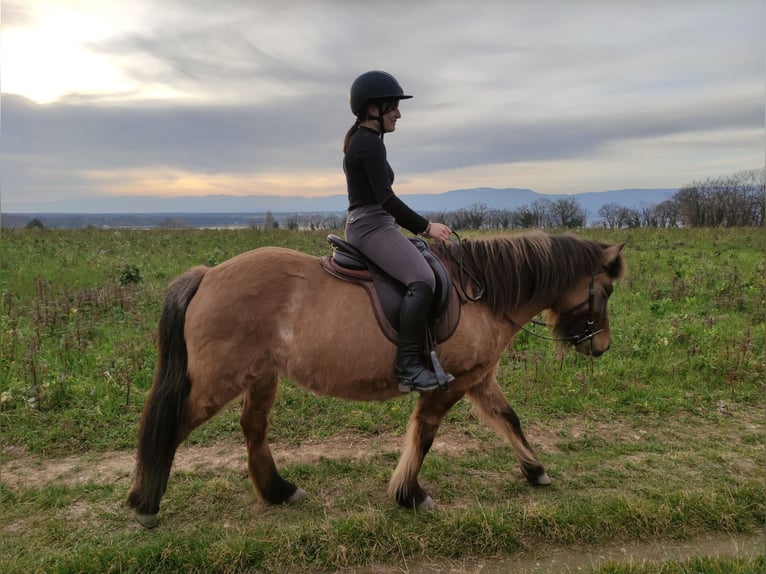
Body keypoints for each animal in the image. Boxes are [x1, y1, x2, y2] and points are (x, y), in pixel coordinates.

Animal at [127, 230, 625, 528]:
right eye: (606, 289)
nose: (601, 346)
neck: (480, 294)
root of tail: (208, 275)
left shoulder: (479, 378)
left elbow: (509, 419)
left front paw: (536, 471)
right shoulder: (453, 381)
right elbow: (425, 433)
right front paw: (410, 494)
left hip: (261, 375)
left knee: (253, 429)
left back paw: (279, 491)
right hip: (218, 380)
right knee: (171, 425)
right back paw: (145, 505)